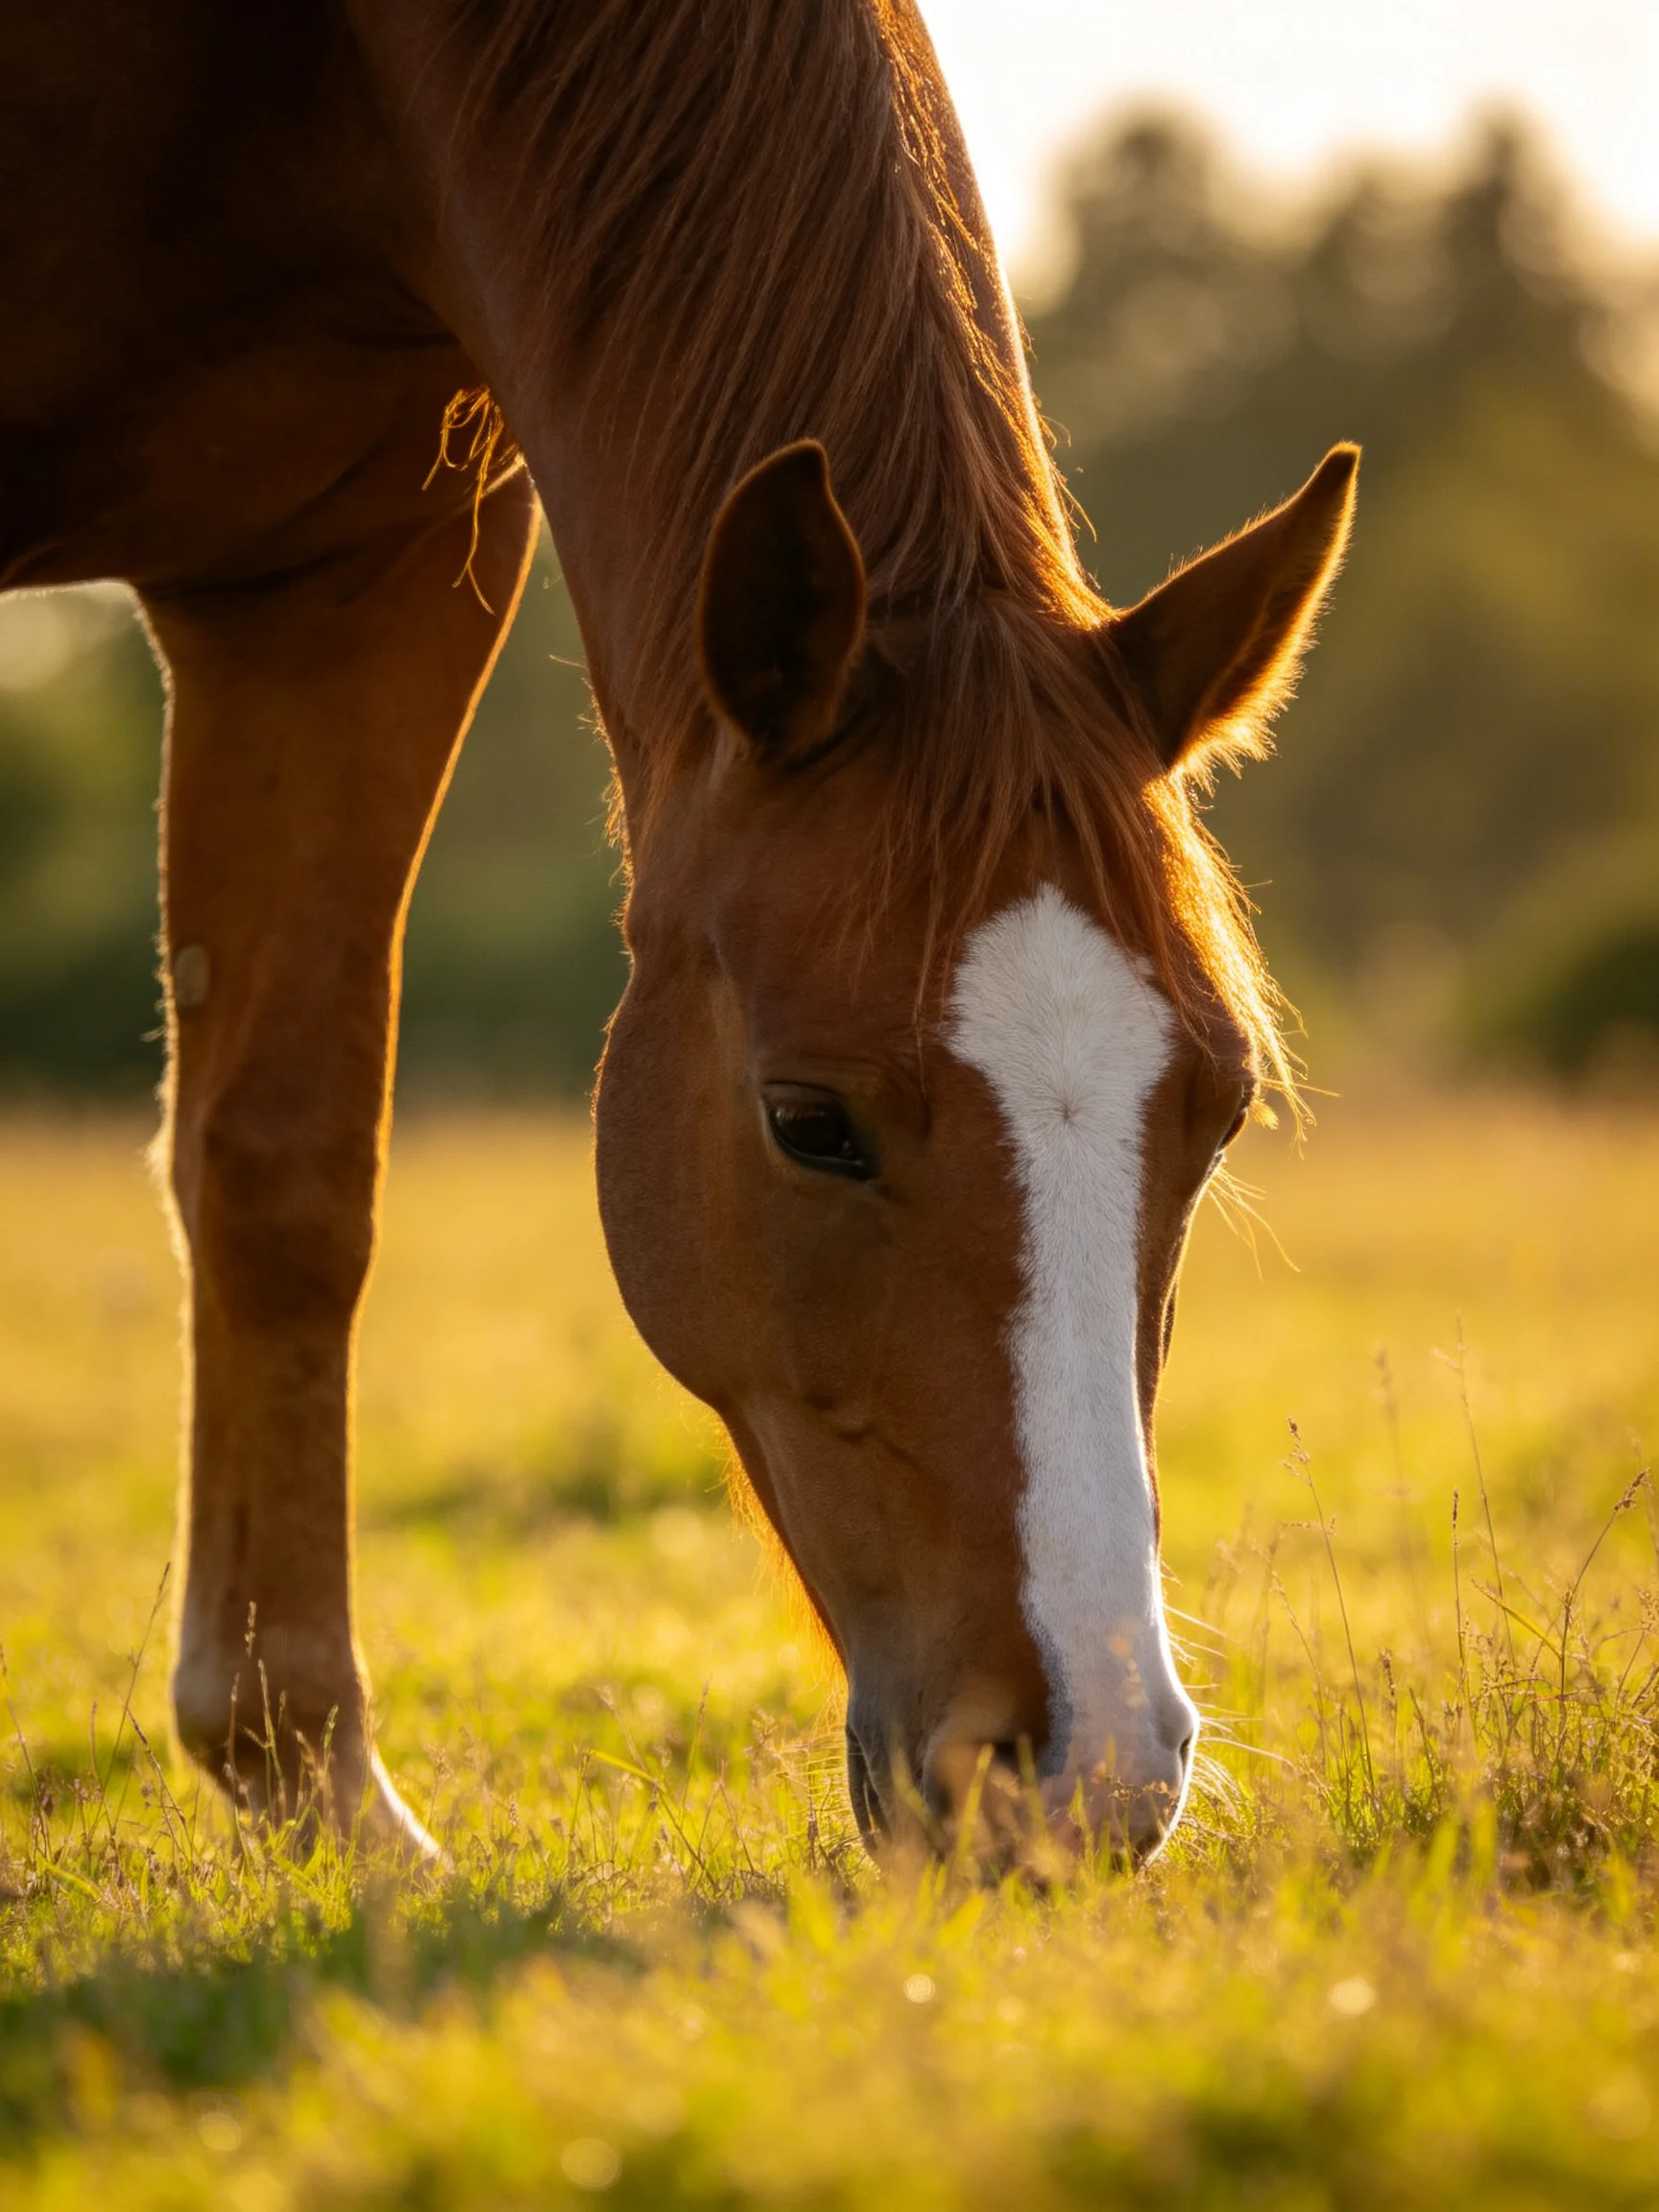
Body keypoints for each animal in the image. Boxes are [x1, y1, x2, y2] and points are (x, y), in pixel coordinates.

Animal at [1, 1, 1355, 1862]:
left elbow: (284, 1167)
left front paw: (318, 1792)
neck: (310, 67)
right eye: (808, 1121)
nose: (1084, 1777)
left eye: (1215, 1116)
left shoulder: (349, 571)